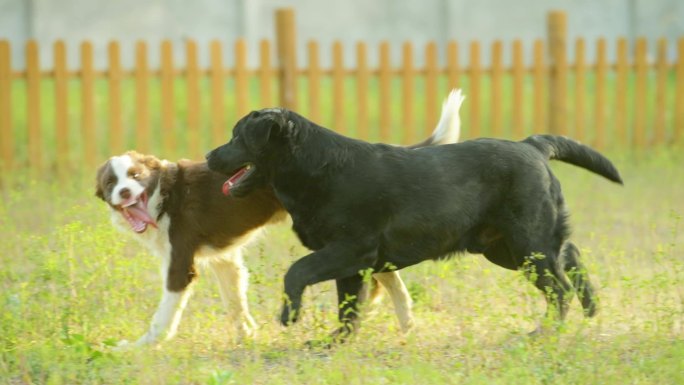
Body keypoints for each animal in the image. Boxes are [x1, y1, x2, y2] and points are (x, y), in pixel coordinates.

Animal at [95, 89, 464, 344]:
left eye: (135, 175)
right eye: (111, 183)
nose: (124, 193)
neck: (165, 193)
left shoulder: (181, 265)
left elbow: (163, 317)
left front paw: (139, 346)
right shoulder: (225, 260)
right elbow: (235, 303)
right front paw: (247, 336)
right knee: (387, 277)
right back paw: (404, 323)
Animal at [206, 108, 624, 340]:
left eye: (238, 136)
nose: (209, 155)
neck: (316, 167)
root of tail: (532, 145)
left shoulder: (351, 249)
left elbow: (296, 271)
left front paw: (289, 315)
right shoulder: (351, 265)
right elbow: (348, 309)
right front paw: (335, 342)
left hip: (526, 244)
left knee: (559, 287)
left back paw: (546, 332)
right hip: (505, 247)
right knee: (570, 254)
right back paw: (591, 310)